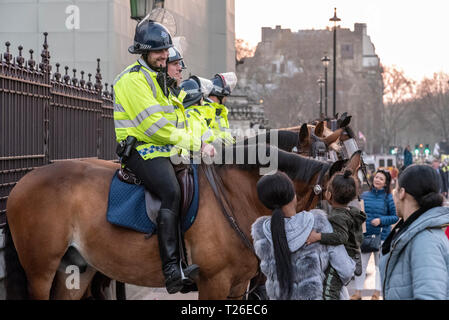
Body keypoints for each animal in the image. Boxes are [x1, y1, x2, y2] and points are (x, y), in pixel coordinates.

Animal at [4, 146, 360, 300]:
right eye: (340, 195)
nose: (357, 253)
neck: (237, 193)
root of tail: (22, 182)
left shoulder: (236, 286)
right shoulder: (214, 283)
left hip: (77, 268)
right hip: (40, 271)